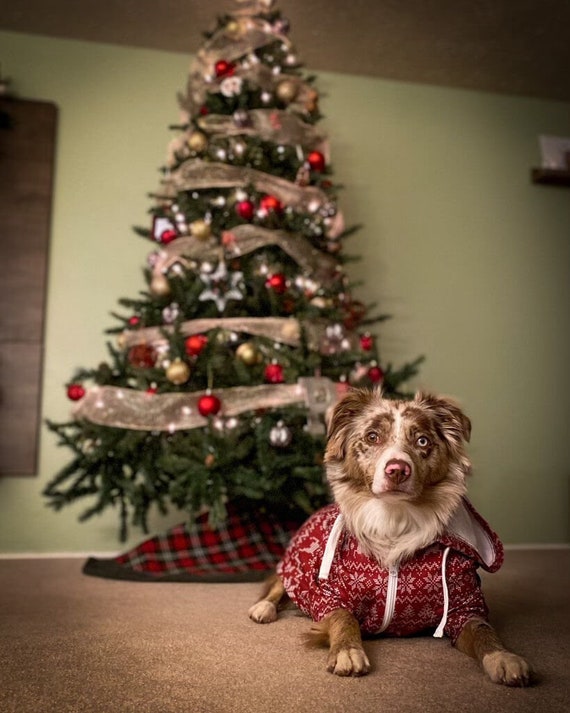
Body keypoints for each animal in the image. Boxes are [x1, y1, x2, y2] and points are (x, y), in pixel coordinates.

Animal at [246, 390, 532, 684]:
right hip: (295, 564)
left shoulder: (463, 606)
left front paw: (502, 657)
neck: (395, 521)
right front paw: (348, 651)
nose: (397, 470)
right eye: (373, 437)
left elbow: (483, 630)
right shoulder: (328, 594)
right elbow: (343, 616)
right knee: (279, 585)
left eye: (422, 440)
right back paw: (263, 608)